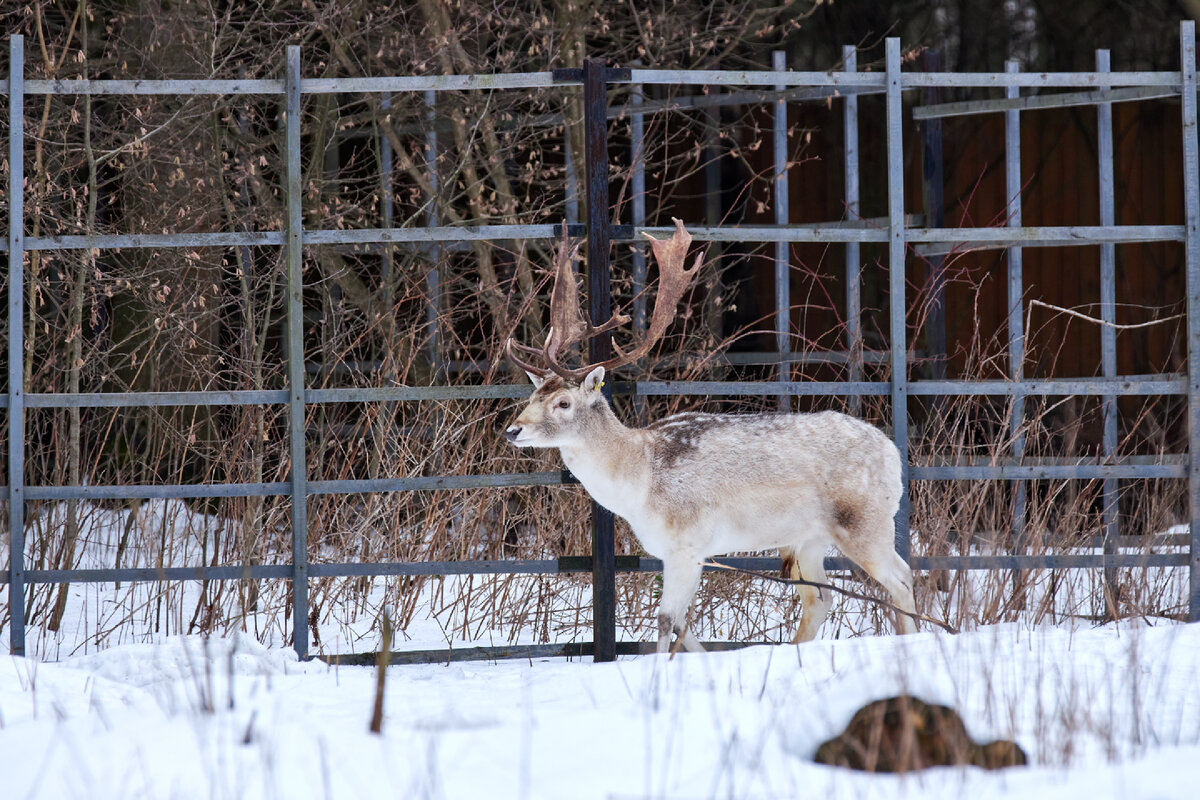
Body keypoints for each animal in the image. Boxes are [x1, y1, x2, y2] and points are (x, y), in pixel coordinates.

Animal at [501, 217, 912, 652]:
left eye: (563, 402)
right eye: (533, 395)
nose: (512, 429)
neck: (639, 484)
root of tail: (893, 454)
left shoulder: (688, 543)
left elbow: (666, 618)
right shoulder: (675, 551)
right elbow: (683, 622)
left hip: (865, 521)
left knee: (901, 579)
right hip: (809, 538)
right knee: (820, 598)